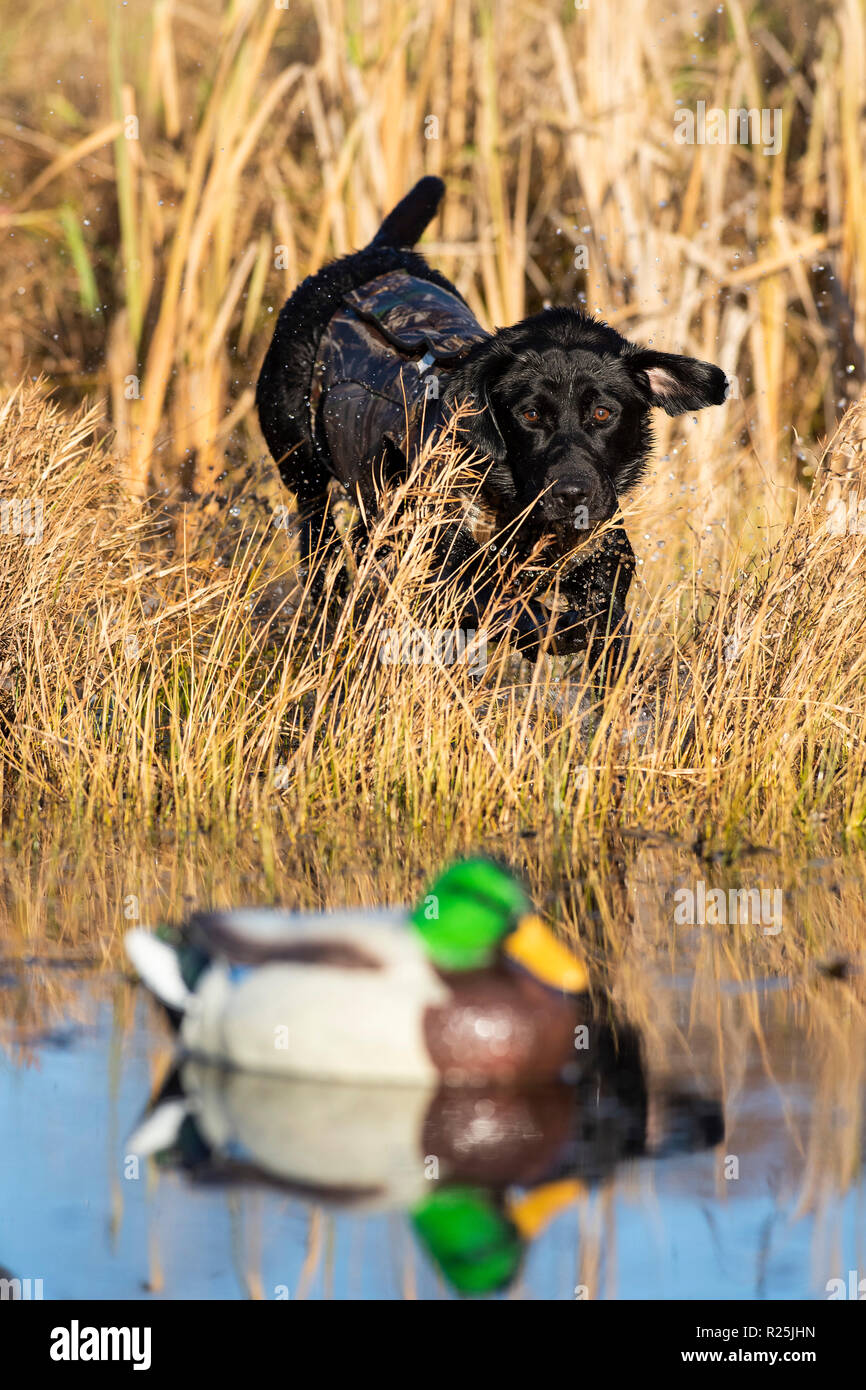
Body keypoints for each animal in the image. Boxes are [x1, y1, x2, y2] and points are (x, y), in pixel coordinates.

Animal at [254, 177, 728, 667]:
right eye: (530, 414)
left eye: (603, 413)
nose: (572, 493)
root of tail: (375, 254)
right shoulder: (443, 569)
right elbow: (513, 607)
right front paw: (557, 630)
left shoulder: (604, 563)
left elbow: (607, 621)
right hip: (303, 470)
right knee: (320, 544)